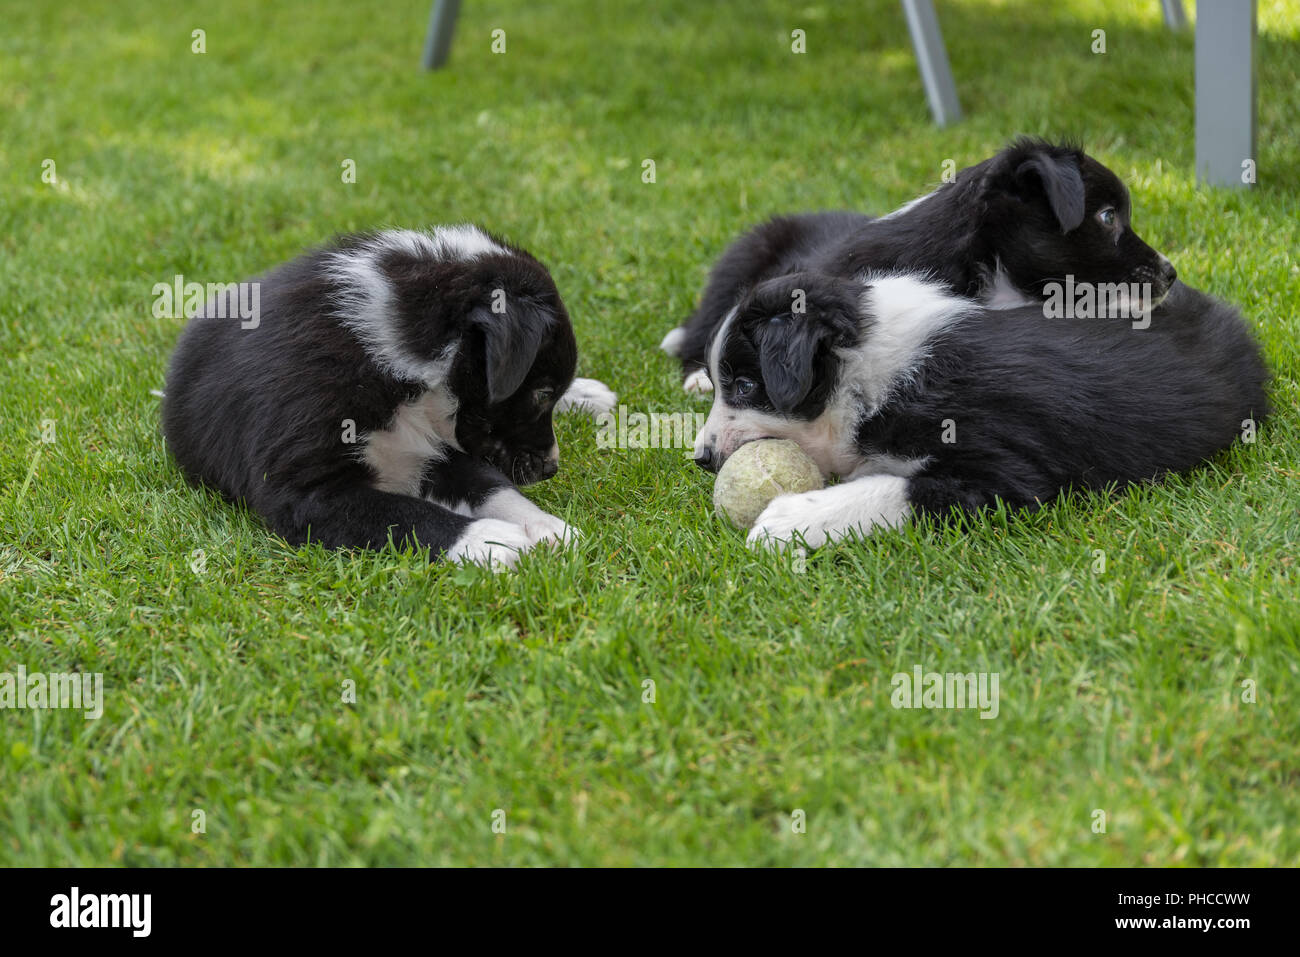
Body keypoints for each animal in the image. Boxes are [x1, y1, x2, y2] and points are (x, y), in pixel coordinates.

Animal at [162, 223, 618, 566]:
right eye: (541, 394)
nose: (550, 469)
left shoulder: (441, 448)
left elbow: (494, 488)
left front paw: (547, 527)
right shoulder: (306, 493)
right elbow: (406, 514)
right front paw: (494, 542)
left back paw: (590, 395)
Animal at [691, 273, 1268, 548]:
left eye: (745, 386)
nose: (699, 457)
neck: (870, 373)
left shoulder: (1008, 469)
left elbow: (902, 487)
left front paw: (790, 519)